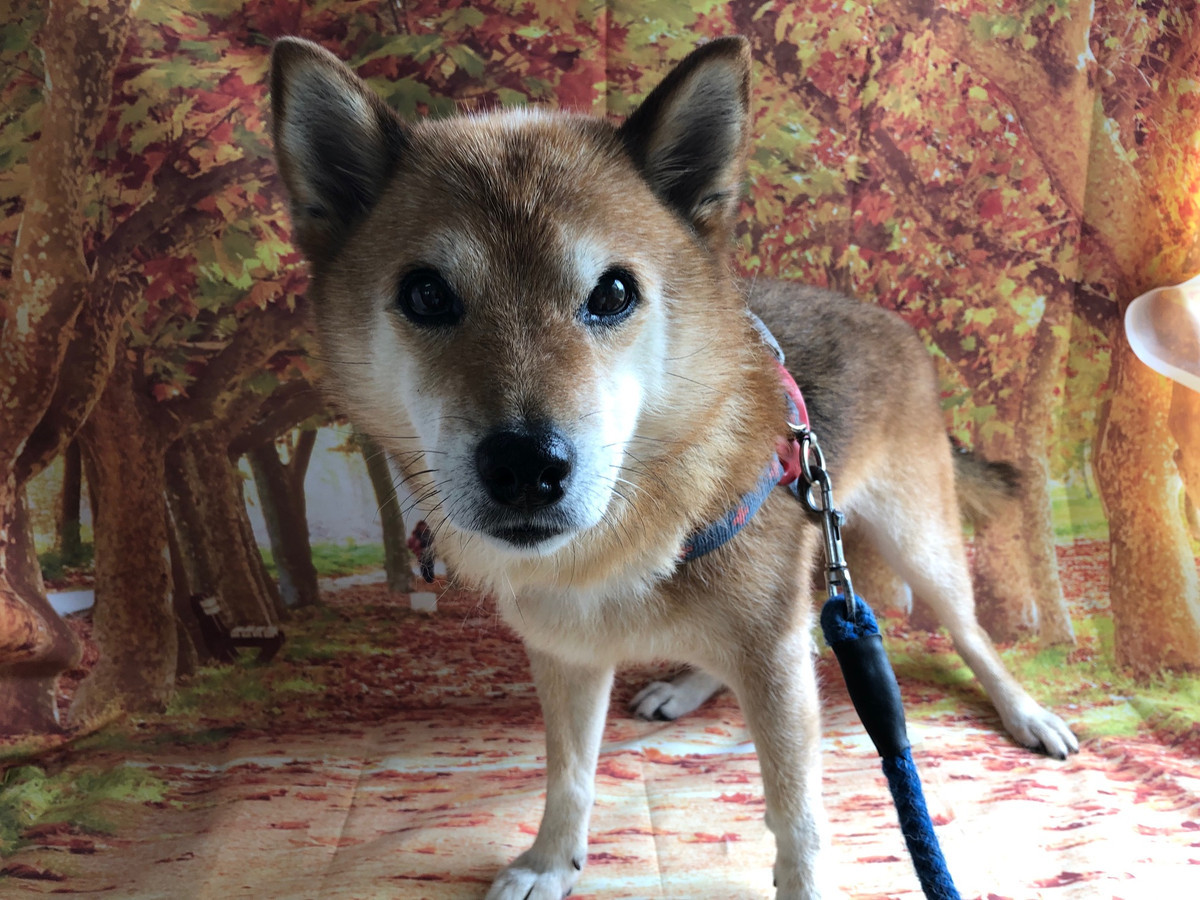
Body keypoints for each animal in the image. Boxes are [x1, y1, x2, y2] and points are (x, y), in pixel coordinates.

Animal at [269, 35, 1077, 899]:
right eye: (425, 294)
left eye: (614, 292)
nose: (526, 466)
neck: (616, 555)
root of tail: (889, 319)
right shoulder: (566, 655)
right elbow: (570, 777)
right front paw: (551, 861)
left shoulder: (775, 668)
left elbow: (796, 815)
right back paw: (685, 684)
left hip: (916, 542)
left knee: (970, 635)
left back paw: (1027, 713)